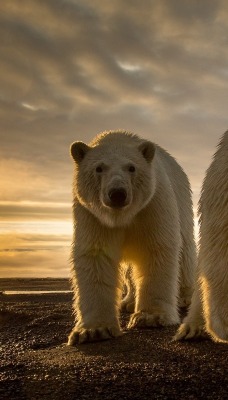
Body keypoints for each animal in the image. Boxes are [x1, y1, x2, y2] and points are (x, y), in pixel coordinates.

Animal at [67, 130, 196, 344]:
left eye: (131, 167)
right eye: (99, 168)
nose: (117, 193)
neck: (122, 216)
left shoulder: (153, 203)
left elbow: (156, 248)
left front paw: (151, 317)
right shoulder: (92, 215)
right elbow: (95, 256)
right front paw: (94, 330)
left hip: (182, 201)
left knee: (185, 250)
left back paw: (185, 297)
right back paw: (127, 302)